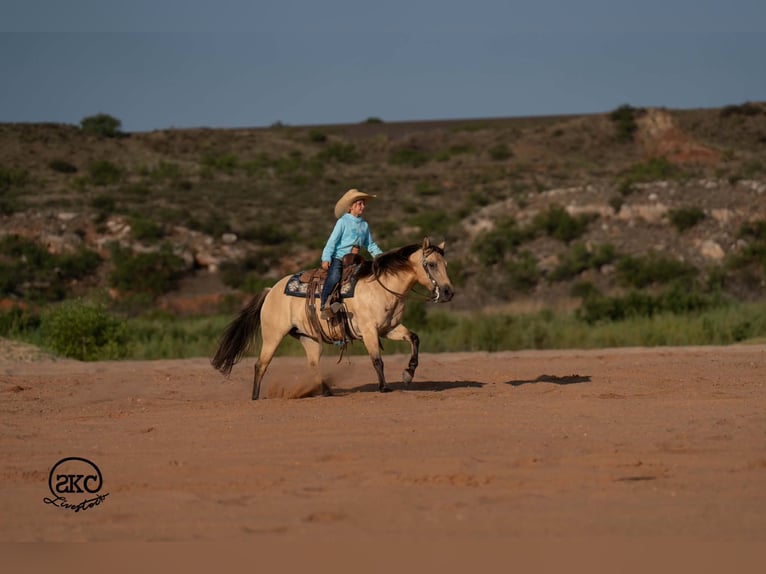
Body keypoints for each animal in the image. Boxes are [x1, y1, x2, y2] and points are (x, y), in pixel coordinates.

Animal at [211, 237, 455, 399]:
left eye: (445, 265)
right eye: (431, 264)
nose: (448, 292)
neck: (381, 287)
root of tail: (271, 290)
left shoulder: (389, 328)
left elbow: (414, 338)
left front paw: (408, 373)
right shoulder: (369, 330)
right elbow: (377, 360)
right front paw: (384, 387)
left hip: (308, 338)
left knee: (312, 364)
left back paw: (326, 391)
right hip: (273, 335)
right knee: (261, 364)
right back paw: (255, 397)